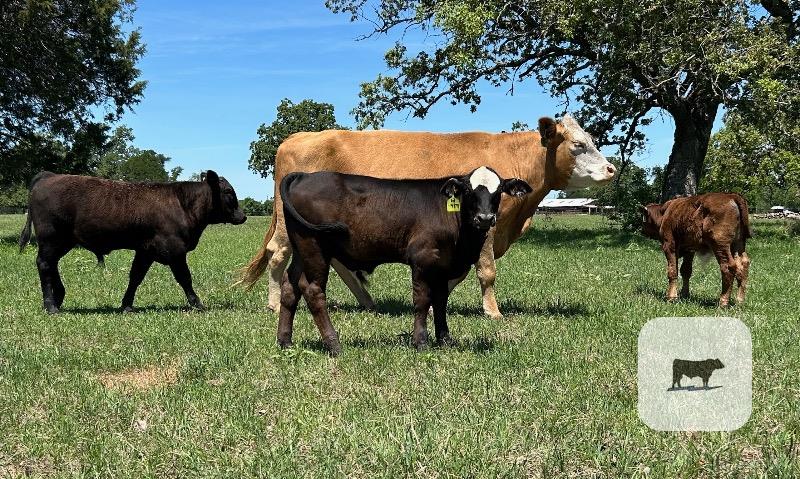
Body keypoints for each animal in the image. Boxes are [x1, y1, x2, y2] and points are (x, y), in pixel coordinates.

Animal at [19, 171, 247, 313]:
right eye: (228, 192)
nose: (243, 216)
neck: (183, 205)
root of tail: (49, 176)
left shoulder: (145, 251)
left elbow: (135, 277)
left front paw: (127, 305)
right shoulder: (175, 251)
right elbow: (185, 278)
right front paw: (197, 303)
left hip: (62, 242)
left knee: (52, 265)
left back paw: (59, 297)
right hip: (51, 239)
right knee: (45, 265)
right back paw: (51, 305)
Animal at [239, 114, 616, 318]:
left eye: (591, 139)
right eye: (578, 145)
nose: (612, 169)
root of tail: (297, 137)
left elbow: (456, 274)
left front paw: (437, 303)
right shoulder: (486, 227)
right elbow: (487, 272)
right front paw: (493, 312)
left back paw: (368, 303)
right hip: (289, 223)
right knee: (277, 254)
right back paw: (274, 304)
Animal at [277, 166, 533, 355]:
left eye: (498, 191)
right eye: (469, 191)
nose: (485, 218)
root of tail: (305, 175)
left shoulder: (443, 266)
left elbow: (441, 301)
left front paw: (444, 339)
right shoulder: (422, 259)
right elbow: (422, 301)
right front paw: (420, 341)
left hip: (301, 248)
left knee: (290, 286)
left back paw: (285, 341)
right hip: (314, 248)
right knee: (313, 290)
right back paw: (334, 345)